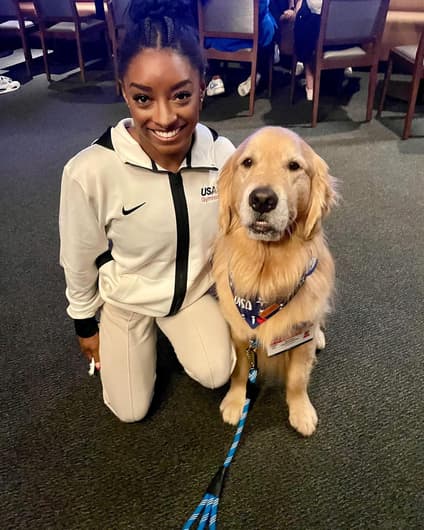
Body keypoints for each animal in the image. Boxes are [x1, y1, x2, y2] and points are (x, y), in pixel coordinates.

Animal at [214, 126, 336, 436]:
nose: (262, 199)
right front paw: (235, 401)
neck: (266, 271)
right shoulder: (240, 332)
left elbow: (297, 379)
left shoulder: (300, 335)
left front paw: (301, 411)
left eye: (294, 166)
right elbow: (240, 371)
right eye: (247, 162)